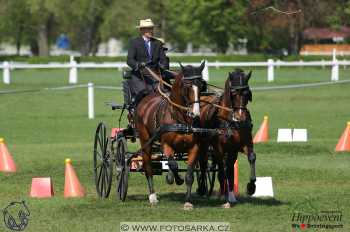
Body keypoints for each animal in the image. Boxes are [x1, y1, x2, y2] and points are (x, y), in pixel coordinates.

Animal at [134, 62, 205, 209]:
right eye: (187, 86)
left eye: (202, 85)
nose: (195, 114)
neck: (181, 119)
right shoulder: (166, 145)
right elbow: (173, 164)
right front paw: (173, 179)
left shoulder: (195, 147)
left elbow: (189, 175)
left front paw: (188, 202)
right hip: (145, 141)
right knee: (148, 166)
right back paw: (153, 196)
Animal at [200, 69, 258, 208]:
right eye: (233, 93)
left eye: (247, 93)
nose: (241, 118)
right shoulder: (219, 149)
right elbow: (223, 170)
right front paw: (226, 199)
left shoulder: (243, 145)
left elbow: (251, 157)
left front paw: (251, 187)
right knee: (204, 165)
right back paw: (205, 189)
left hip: (231, 151)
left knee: (228, 168)